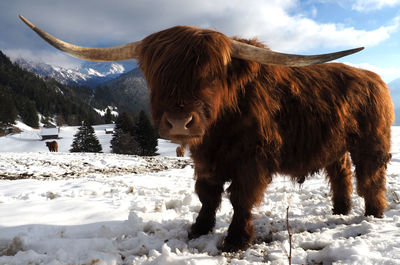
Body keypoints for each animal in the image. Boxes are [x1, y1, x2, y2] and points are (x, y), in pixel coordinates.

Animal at [19, 15, 394, 251]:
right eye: (156, 74)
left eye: (211, 74)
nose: (178, 122)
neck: (220, 127)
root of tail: (373, 78)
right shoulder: (206, 158)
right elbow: (208, 194)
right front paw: (199, 228)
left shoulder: (252, 158)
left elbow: (241, 197)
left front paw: (235, 239)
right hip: (335, 144)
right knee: (340, 172)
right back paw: (340, 209)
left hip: (371, 141)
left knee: (370, 175)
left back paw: (373, 214)